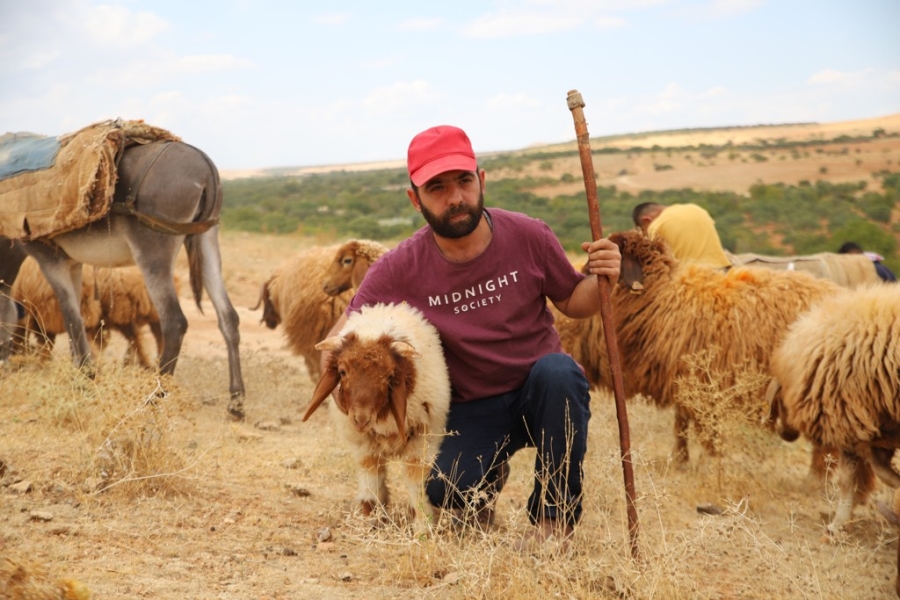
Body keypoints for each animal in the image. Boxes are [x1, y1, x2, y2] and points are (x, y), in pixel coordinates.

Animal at [768, 284, 900, 532]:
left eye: (781, 402)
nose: (783, 433)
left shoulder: (846, 422)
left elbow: (848, 480)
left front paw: (836, 525)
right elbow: (876, 465)